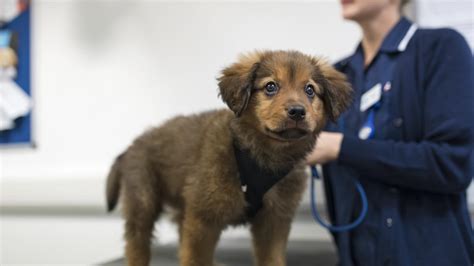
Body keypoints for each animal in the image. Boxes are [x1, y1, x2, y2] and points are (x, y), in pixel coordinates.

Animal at [107, 50, 352, 266]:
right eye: (270, 86)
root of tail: (131, 147)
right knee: (136, 244)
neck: (263, 155)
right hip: (143, 200)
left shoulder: (274, 220)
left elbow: (272, 259)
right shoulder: (203, 219)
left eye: (310, 90)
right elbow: (196, 259)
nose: (298, 111)